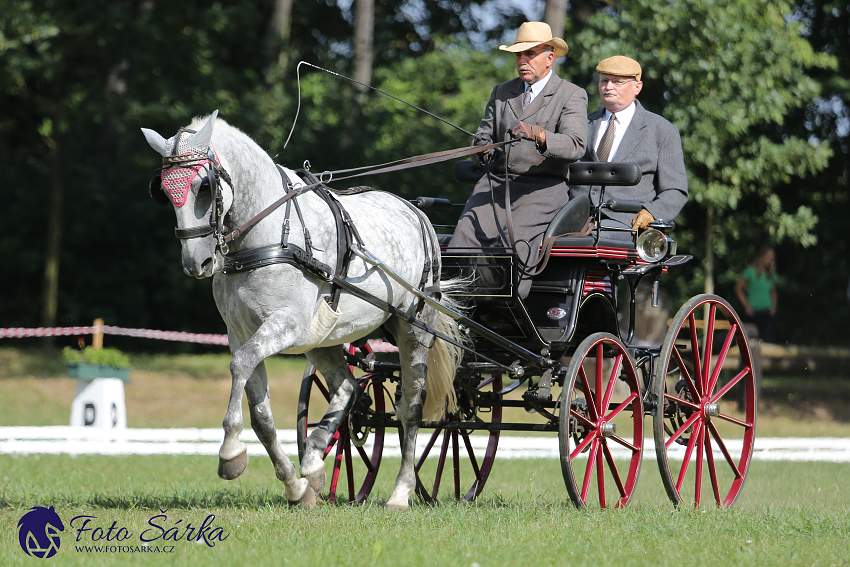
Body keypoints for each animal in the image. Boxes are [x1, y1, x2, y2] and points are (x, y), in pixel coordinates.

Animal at [146, 112, 464, 510]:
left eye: (204, 186)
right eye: (163, 191)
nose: (196, 262)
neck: (267, 236)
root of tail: (416, 211)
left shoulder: (286, 324)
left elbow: (240, 366)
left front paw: (230, 452)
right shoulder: (241, 333)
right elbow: (261, 413)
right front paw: (294, 486)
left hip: (413, 328)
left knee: (411, 407)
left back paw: (402, 491)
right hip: (323, 338)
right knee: (347, 387)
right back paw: (313, 461)